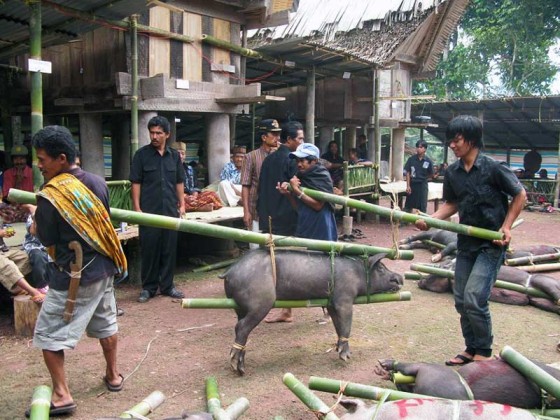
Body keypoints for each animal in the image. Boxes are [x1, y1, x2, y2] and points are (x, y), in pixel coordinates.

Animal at [220, 249, 402, 374]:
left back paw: (242, 367)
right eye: (381, 268)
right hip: (261, 302)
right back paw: (237, 366)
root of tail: (230, 271)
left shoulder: (331, 302)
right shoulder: (344, 298)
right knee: (241, 327)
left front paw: (337, 348)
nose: (400, 277)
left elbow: (338, 326)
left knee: (240, 325)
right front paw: (346, 357)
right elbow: (347, 325)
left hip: (239, 307)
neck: (358, 272)